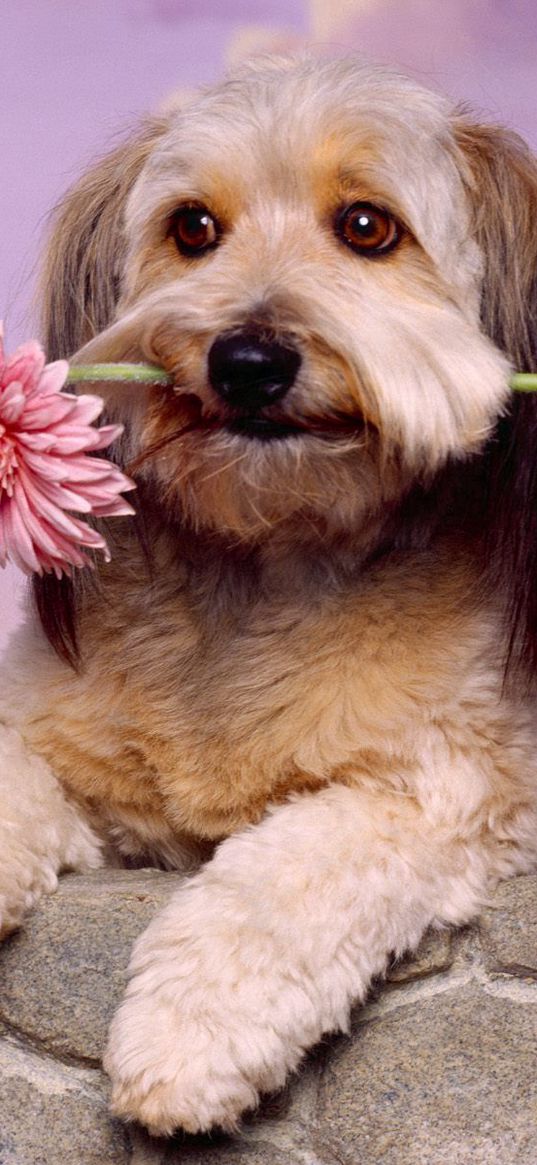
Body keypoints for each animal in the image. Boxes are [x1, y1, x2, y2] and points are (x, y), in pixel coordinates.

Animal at [1, 54, 535, 1137]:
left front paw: (191, 1030)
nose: (246, 360)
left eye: (368, 226)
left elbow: (286, 871)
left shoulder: (457, 791)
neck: (267, 558)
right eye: (193, 228)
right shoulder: (80, 780)